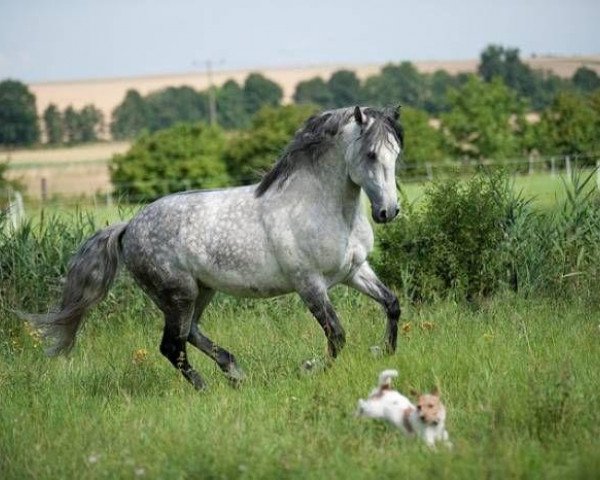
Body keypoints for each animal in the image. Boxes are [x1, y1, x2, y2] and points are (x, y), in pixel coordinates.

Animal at [24, 106, 408, 390]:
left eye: (396, 154)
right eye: (371, 154)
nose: (388, 212)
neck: (320, 207)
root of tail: (128, 226)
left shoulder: (354, 271)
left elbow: (391, 304)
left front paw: (385, 353)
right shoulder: (309, 283)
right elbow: (337, 334)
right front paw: (311, 369)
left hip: (200, 291)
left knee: (190, 333)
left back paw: (234, 371)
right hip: (177, 294)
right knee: (172, 345)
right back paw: (206, 388)